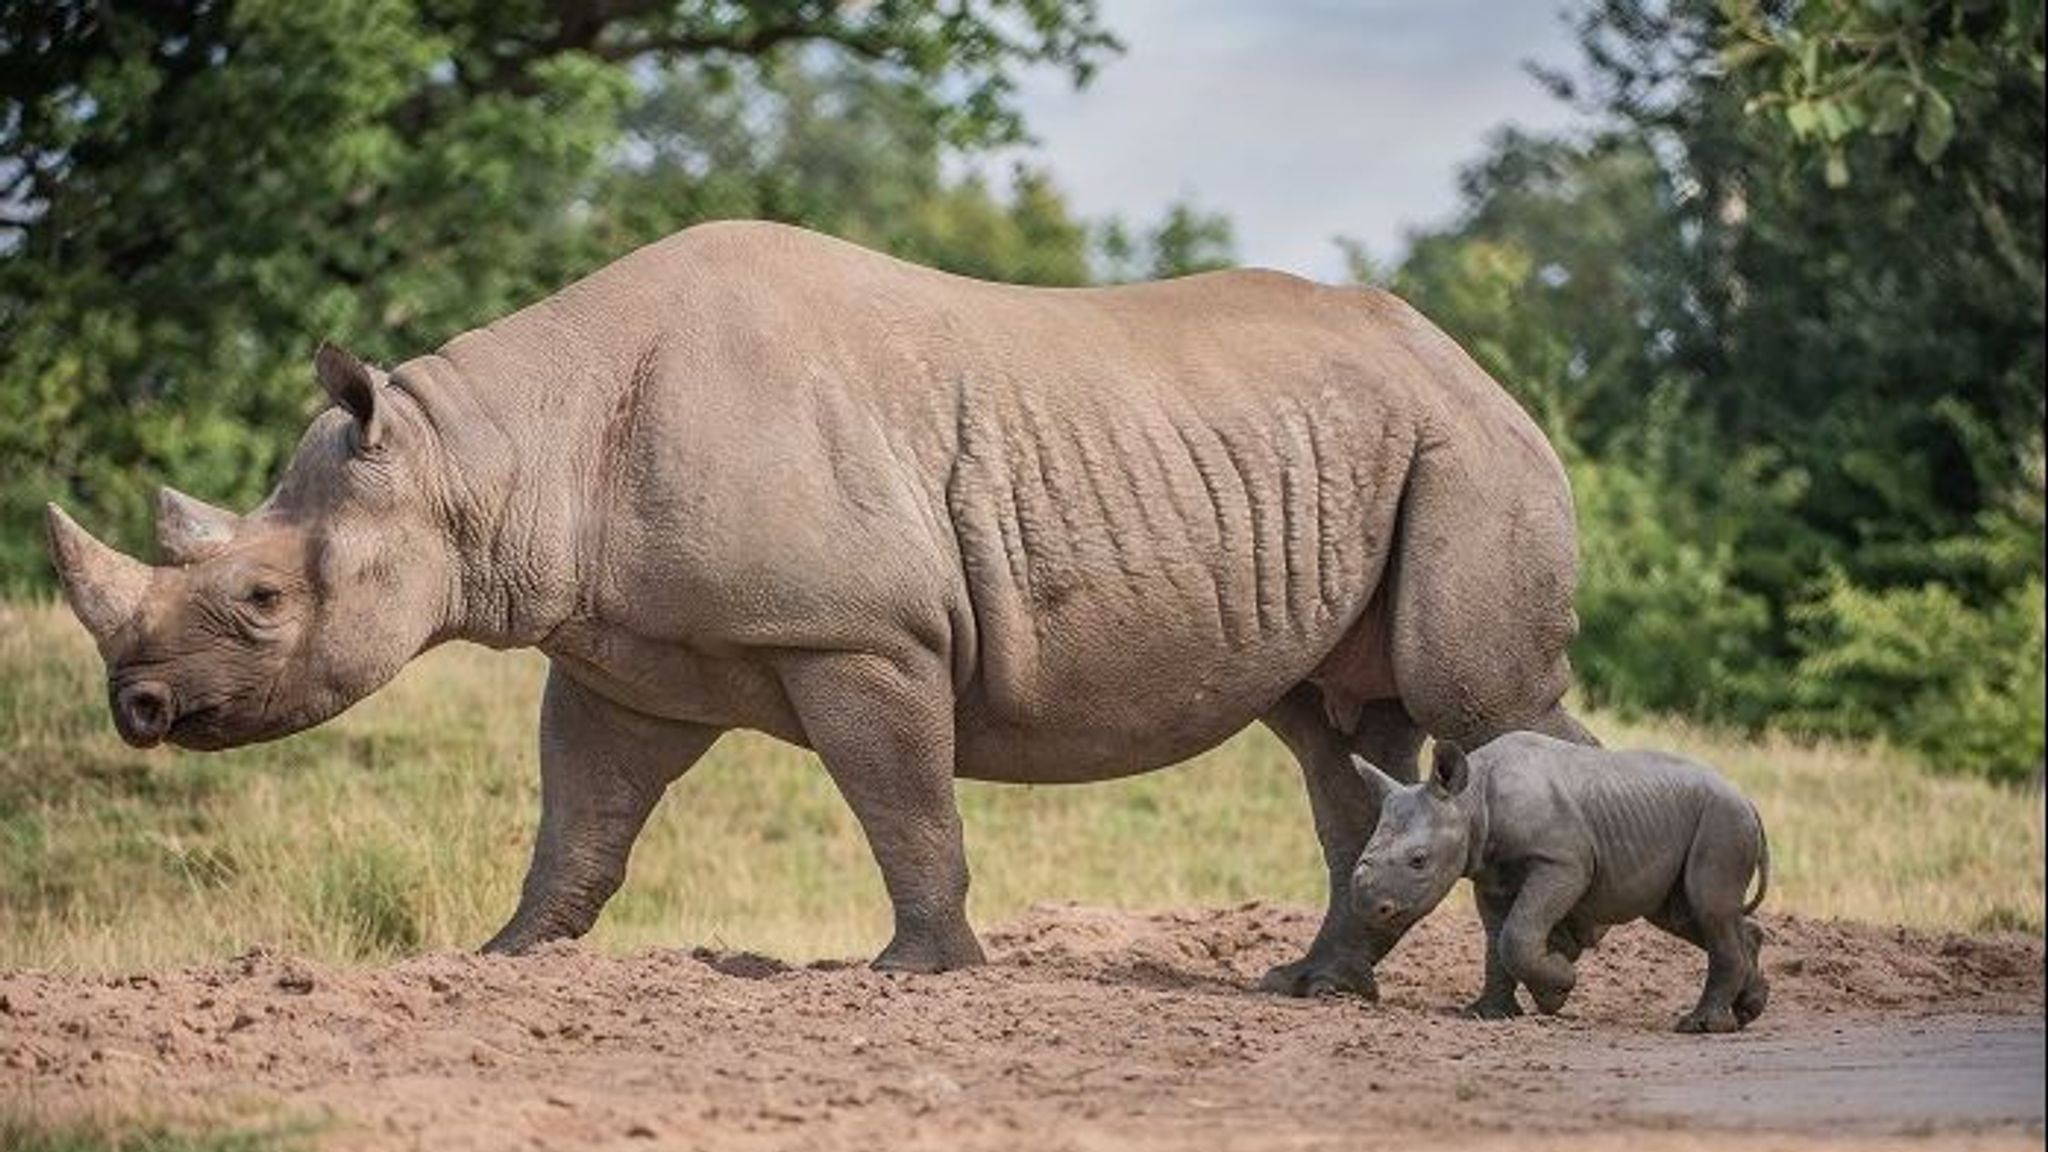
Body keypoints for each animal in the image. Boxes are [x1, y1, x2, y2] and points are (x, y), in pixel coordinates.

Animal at [44, 219, 1581, 992]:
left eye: (257, 597)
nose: (139, 707)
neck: (492, 454)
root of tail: (1488, 372)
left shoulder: (858, 633)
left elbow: (904, 805)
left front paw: (918, 971)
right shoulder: (617, 656)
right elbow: (579, 818)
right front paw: (503, 960)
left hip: (1472, 456)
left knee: (1474, 705)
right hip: (1379, 453)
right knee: (1336, 734)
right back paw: (1312, 991)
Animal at [1351, 729, 1769, 1037]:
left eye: (1418, 861)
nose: (1369, 907)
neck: (1473, 800)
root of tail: (1748, 801)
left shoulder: (1563, 863)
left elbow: (1516, 936)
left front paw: (1559, 987)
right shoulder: (1491, 875)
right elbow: (1496, 940)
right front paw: (1488, 1014)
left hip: (1721, 818)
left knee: (1707, 908)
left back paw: (1702, 1026)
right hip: (1695, 818)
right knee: (1682, 915)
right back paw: (1748, 1010)